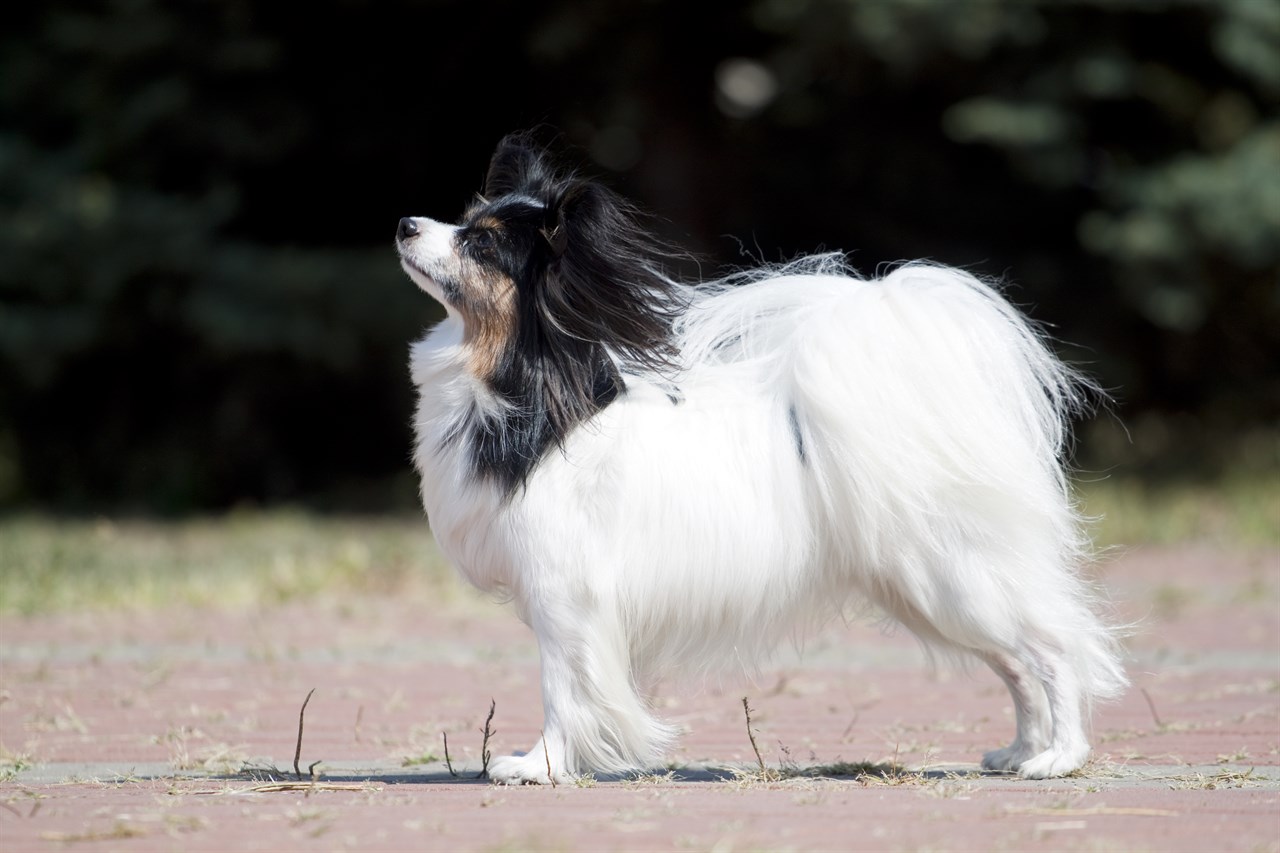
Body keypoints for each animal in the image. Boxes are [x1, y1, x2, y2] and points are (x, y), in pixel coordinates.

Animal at [394, 134, 1126, 783]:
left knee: (1054, 648)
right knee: (1015, 664)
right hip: (931, 591)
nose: (404, 222)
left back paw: (1060, 758)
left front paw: (537, 767)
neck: (533, 395)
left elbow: (563, 690)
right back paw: (1020, 751)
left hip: (958, 579)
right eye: (464, 222)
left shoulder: (566, 599)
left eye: (481, 243)